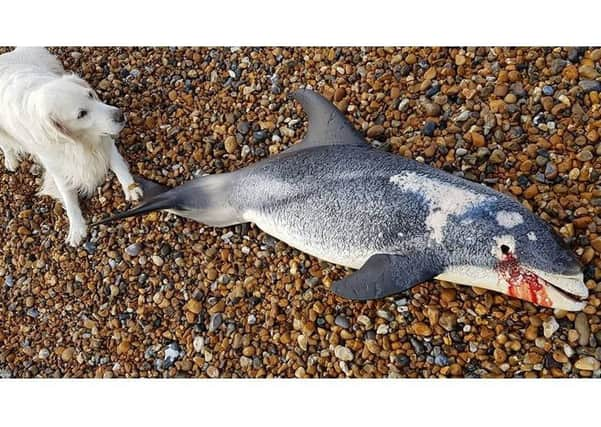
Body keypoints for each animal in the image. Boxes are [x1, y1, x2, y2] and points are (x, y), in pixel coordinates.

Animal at [0, 46, 143, 247]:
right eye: (81, 114)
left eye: (90, 95)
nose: (120, 115)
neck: (79, 141)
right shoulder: (57, 165)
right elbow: (67, 196)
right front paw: (76, 227)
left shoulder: (103, 138)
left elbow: (118, 165)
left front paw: (131, 187)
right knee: (5, 145)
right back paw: (11, 161)